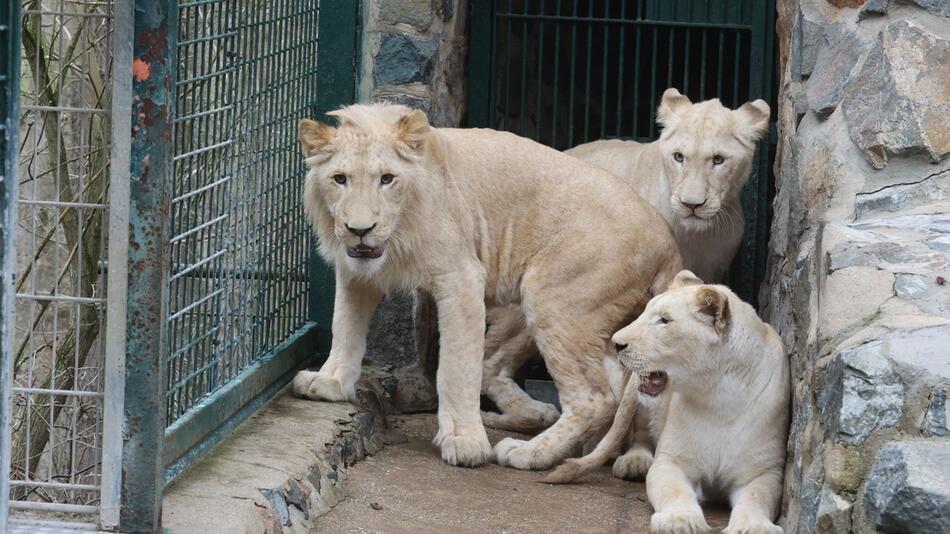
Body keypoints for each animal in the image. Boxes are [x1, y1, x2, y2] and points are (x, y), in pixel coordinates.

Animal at [294, 103, 680, 468]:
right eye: (340, 179)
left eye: (387, 179)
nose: (360, 229)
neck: (399, 232)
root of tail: (668, 241)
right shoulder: (358, 268)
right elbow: (345, 325)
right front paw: (331, 381)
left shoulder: (461, 277)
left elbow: (456, 365)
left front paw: (463, 441)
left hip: (553, 297)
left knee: (593, 398)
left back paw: (529, 453)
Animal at [548, 272, 792, 534]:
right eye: (645, 312)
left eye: (664, 320)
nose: (616, 343)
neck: (719, 397)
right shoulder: (671, 461)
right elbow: (674, 491)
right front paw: (679, 520)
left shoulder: (764, 472)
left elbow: (756, 498)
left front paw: (755, 527)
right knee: (641, 436)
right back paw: (634, 463)